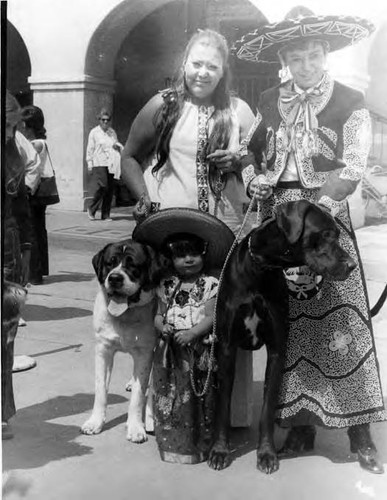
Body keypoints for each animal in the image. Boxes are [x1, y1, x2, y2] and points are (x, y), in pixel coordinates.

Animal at [81, 238, 166, 442]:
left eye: (133, 265)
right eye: (109, 263)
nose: (115, 278)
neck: (125, 316)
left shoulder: (144, 353)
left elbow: (138, 394)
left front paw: (136, 428)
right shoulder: (103, 350)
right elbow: (100, 389)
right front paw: (95, 422)